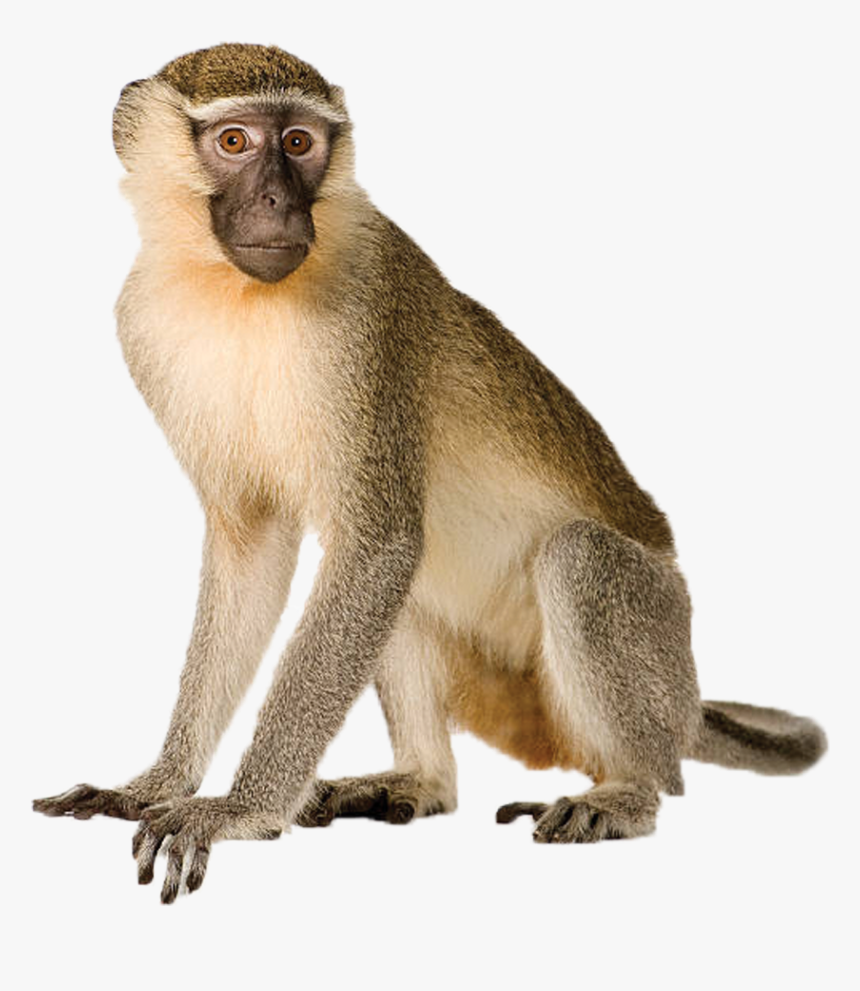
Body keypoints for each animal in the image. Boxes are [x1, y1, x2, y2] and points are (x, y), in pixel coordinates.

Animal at [33, 43, 826, 903]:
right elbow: (257, 549)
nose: (279, 201)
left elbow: (377, 544)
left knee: (574, 559)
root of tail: (684, 701)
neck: (233, 290)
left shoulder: (366, 316)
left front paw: (236, 809)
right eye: (236, 142)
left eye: (301, 143)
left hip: (656, 634)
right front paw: (156, 783)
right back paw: (421, 778)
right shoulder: (141, 323)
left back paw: (629, 789)